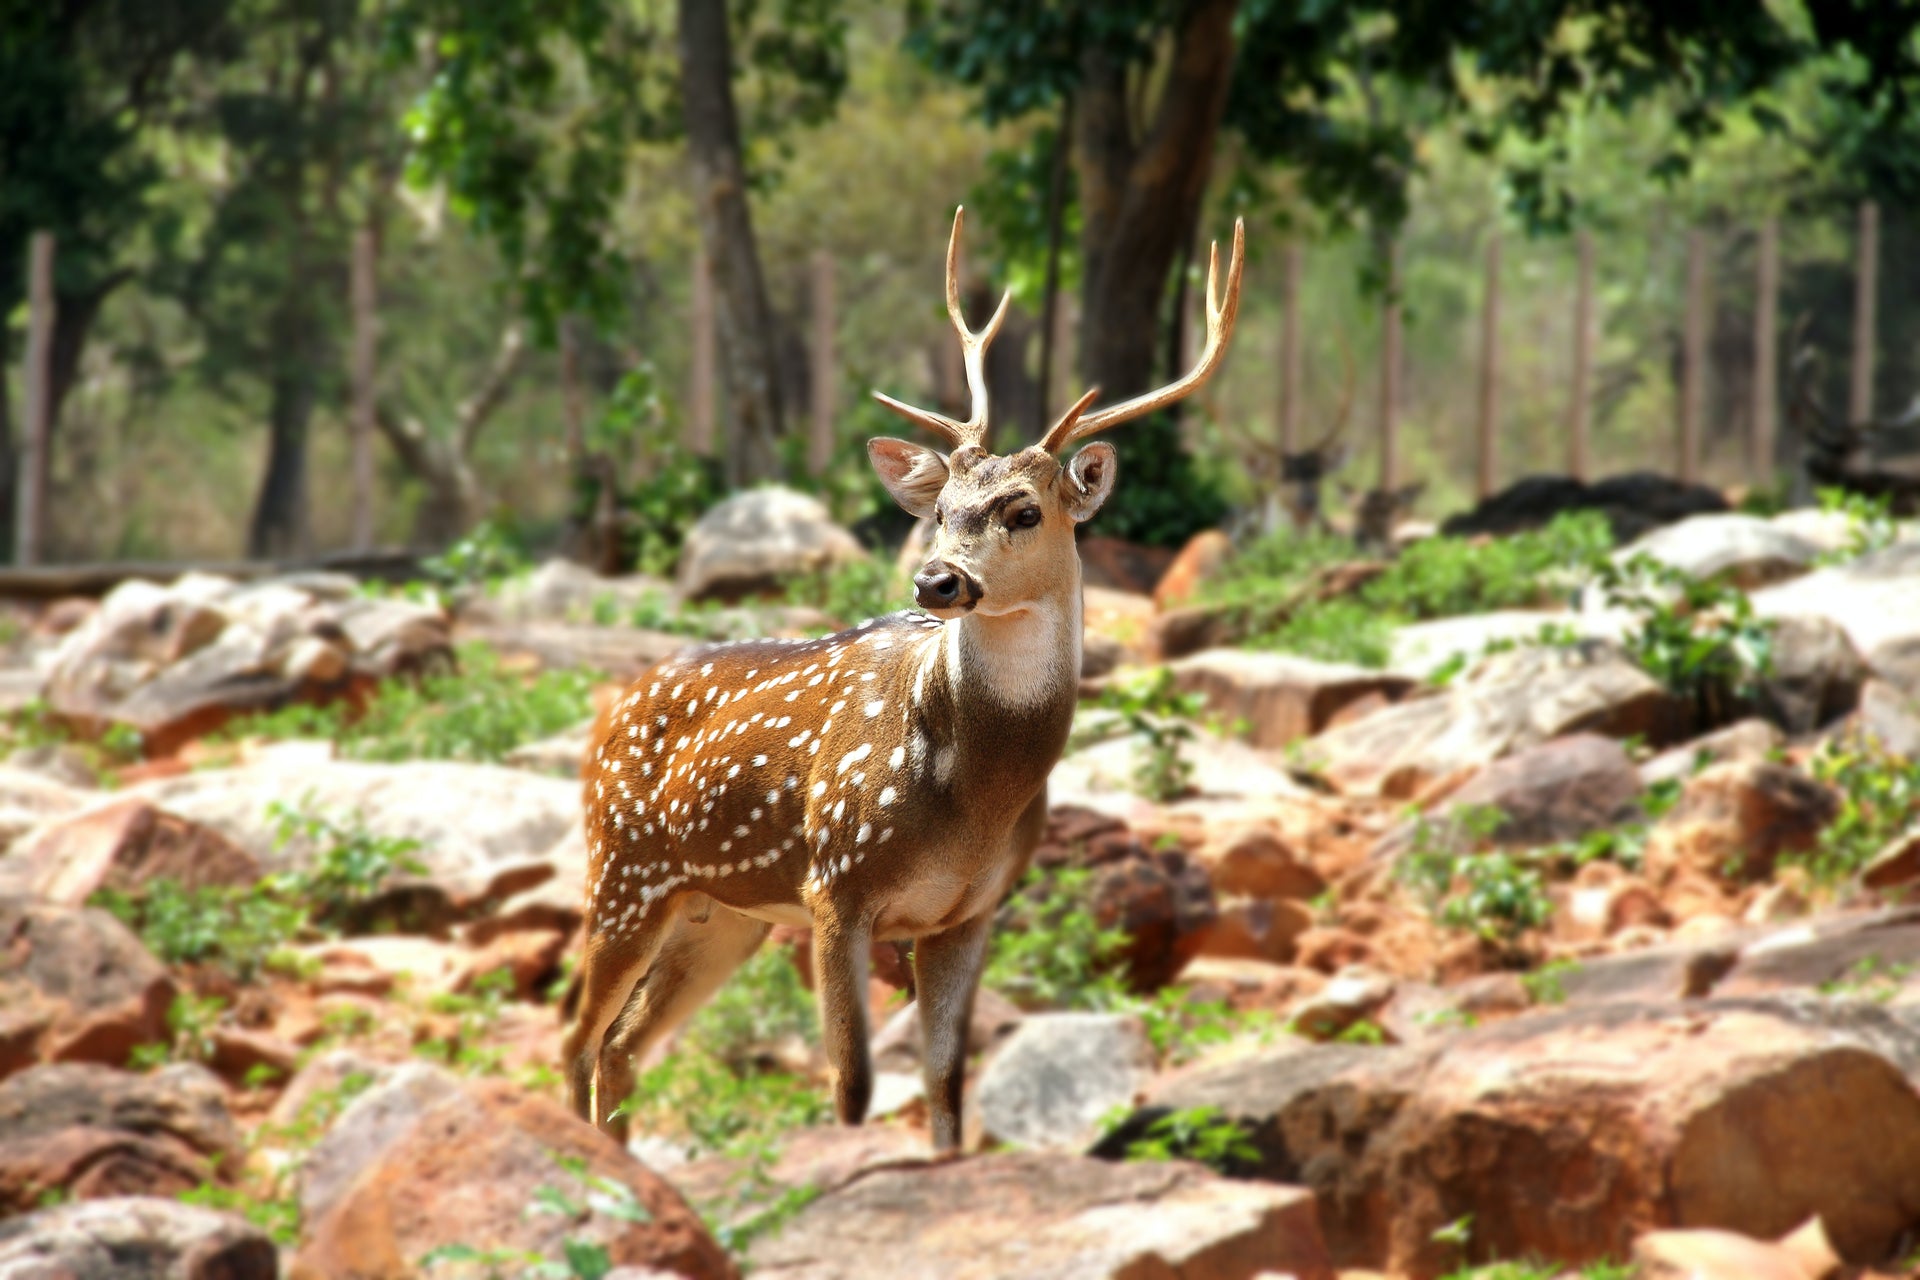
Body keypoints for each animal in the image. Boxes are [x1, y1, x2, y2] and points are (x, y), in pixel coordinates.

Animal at [560, 208, 1244, 1151]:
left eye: (1024, 510)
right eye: (941, 508)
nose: (936, 581)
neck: (967, 798)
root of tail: (609, 710)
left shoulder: (970, 909)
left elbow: (945, 1086)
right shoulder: (835, 885)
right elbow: (851, 1085)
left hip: (723, 910)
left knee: (623, 1047)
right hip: (625, 868)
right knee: (578, 1040)